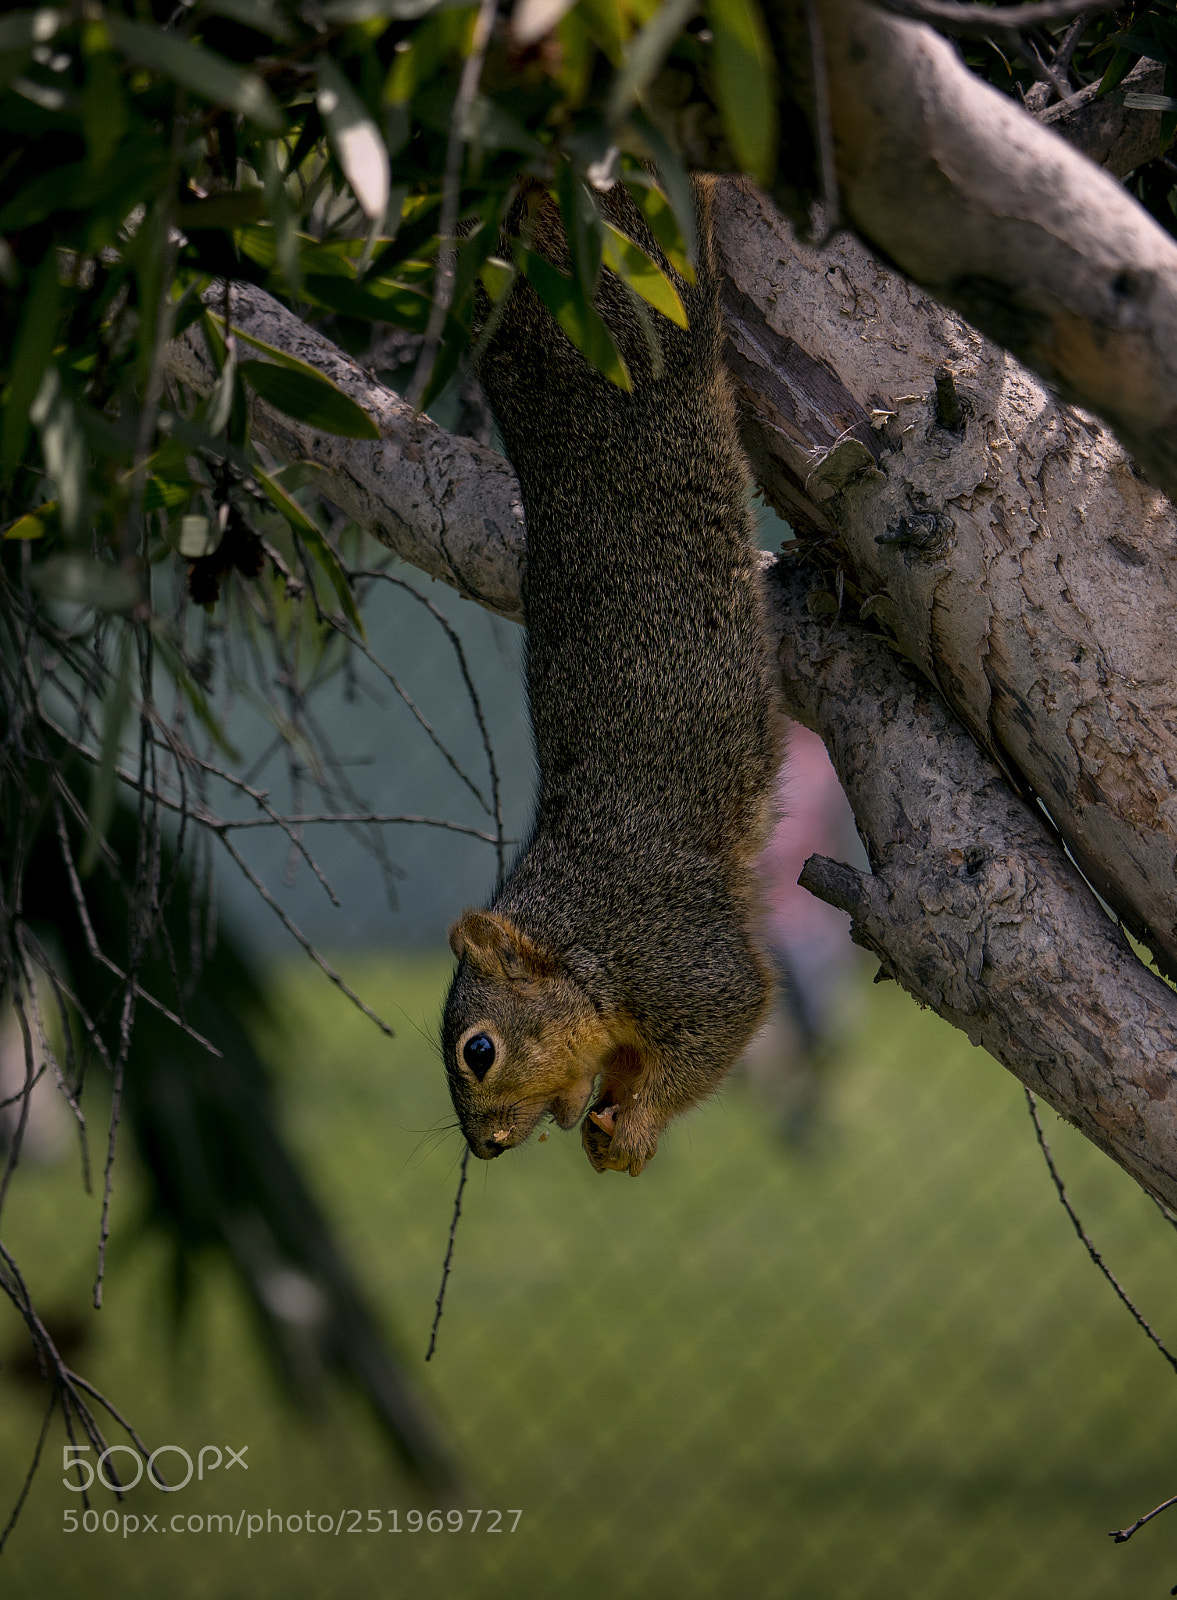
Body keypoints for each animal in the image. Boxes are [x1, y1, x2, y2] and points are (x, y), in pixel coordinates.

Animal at [440, 174, 782, 1176]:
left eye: (479, 1050)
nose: (487, 1149)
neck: (579, 933)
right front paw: (603, 1119)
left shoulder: (675, 950)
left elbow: (728, 1015)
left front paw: (630, 1128)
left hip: (649, 300)